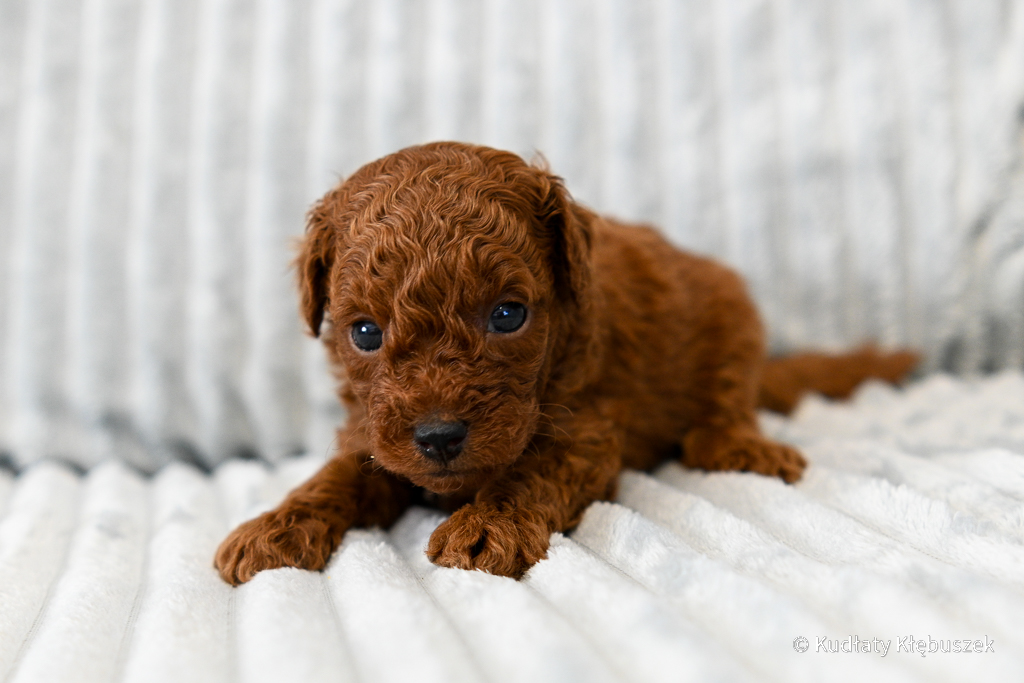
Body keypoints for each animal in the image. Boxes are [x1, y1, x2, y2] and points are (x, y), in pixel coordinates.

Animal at [215, 141, 918, 584]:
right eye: (364, 332)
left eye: (508, 316)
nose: (438, 437)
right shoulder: (372, 431)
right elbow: (336, 476)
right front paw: (274, 525)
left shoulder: (585, 432)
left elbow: (529, 473)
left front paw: (487, 527)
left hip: (733, 315)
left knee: (728, 400)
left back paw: (742, 447)